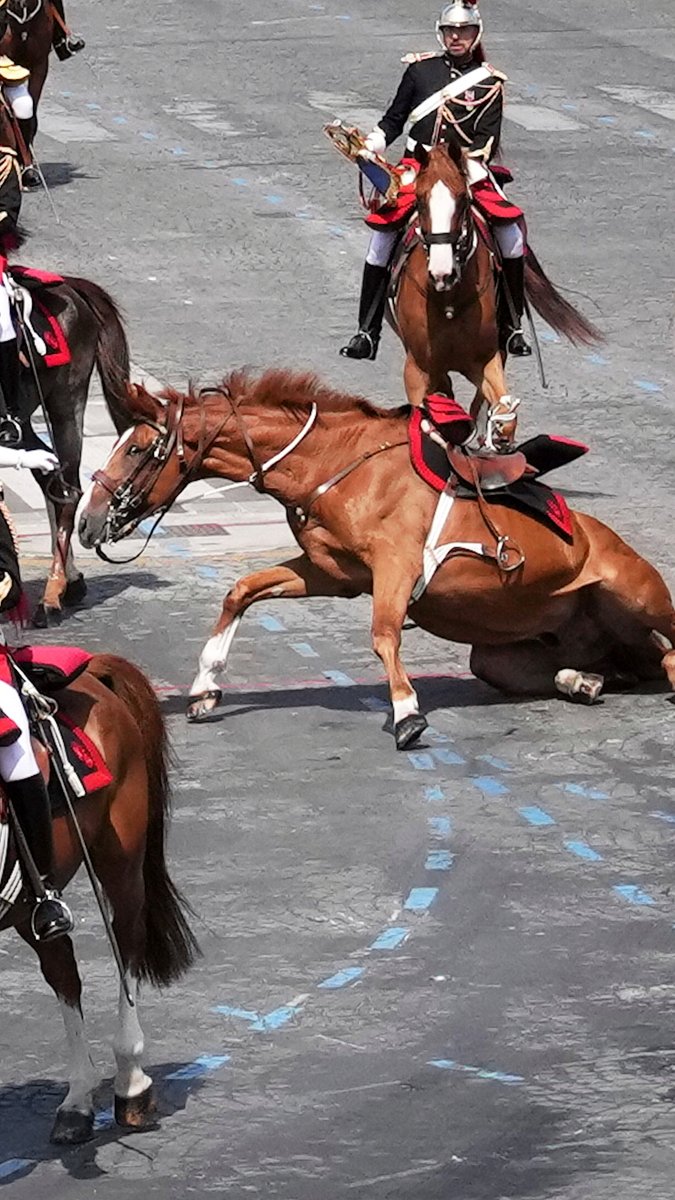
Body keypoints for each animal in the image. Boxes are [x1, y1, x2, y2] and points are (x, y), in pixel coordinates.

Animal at [0, 651, 200, 1144]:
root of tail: (92, 672)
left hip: (120, 864)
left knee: (125, 943)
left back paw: (131, 1083)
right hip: (29, 906)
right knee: (64, 973)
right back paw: (77, 1101)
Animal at [9, 273, 131, 625]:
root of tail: (69, 285)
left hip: (66, 404)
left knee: (67, 491)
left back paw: (52, 594)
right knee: (50, 479)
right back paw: (70, 582)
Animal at [76, 370, 675, 750]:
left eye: (135, 449)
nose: (86, 521)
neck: (335, 465)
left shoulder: (395, 568)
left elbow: (384, 636)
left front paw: (407, 713)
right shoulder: (333, 573)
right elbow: (241, 591)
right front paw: (204, 687)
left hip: (635, 596)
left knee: (665, 658)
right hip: (500, 654)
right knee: (625, 667)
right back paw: (581, 680)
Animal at [393, 142, 601, 448]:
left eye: (462, 199)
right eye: (419, 200)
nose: (442, 273)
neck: (449, 300)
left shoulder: (488, 359)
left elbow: (502, 408)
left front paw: (495, 431)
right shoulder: (418, 370)